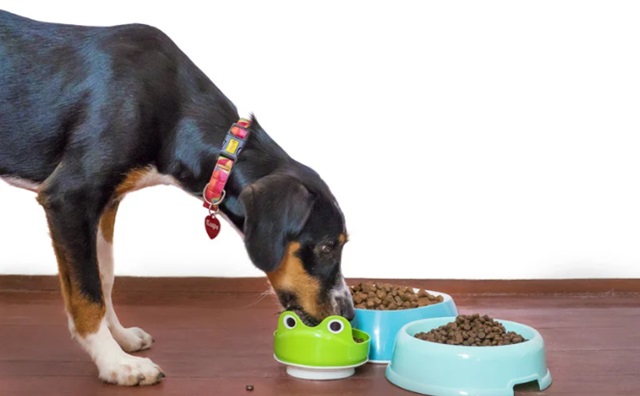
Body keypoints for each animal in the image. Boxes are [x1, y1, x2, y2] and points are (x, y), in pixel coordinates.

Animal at [0, 10, 352, 386]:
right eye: (327, 247)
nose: (348, 313)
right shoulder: (69, 197)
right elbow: (87, 292)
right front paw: (115, 363)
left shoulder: (106, 203)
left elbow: (104, 276)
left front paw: (120, 337)